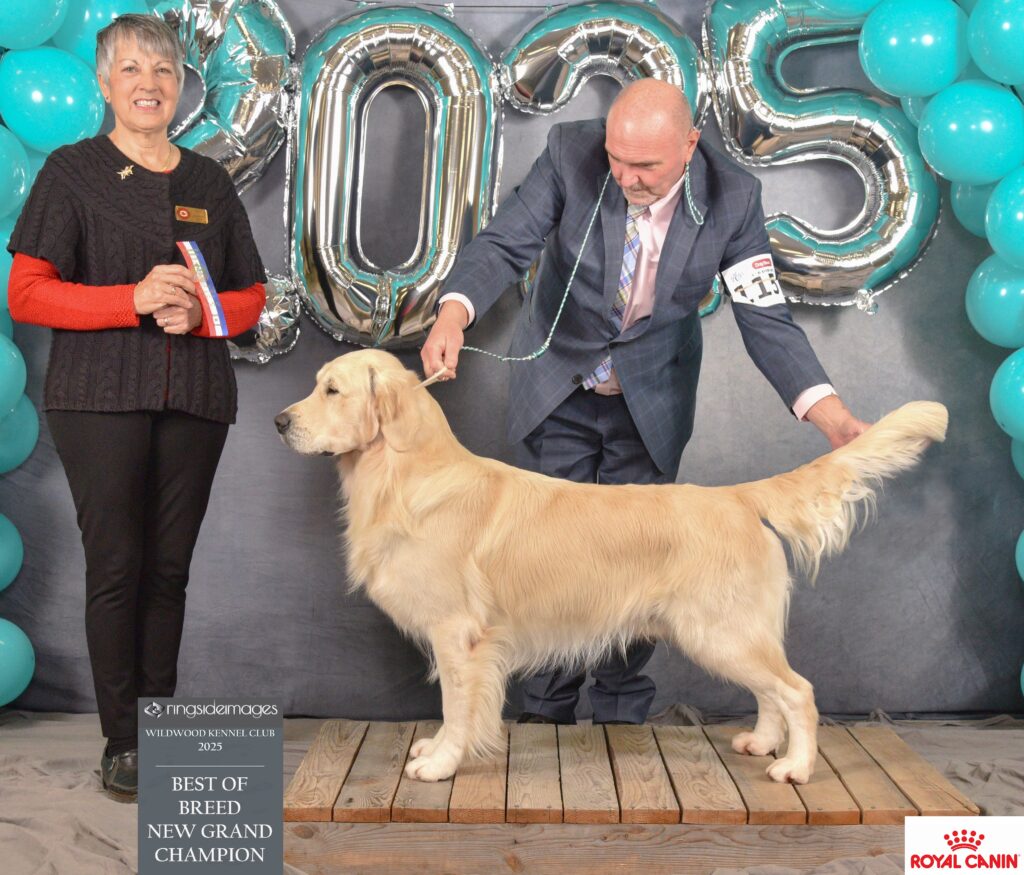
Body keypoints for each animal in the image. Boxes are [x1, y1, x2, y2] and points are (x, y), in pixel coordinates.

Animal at [276, 350, 946, 786]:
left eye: (332, 390)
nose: (280, 422)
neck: (404, 474)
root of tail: (736, 497)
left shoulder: (458, 634)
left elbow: (458, 707)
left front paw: (442, 764)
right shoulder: (458, 641)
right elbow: (453, 709)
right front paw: (436, 751)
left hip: (721, 631)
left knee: (798, 690)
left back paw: (796, 766)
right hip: (730, 633)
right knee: (773, 692)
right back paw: (760, 742)